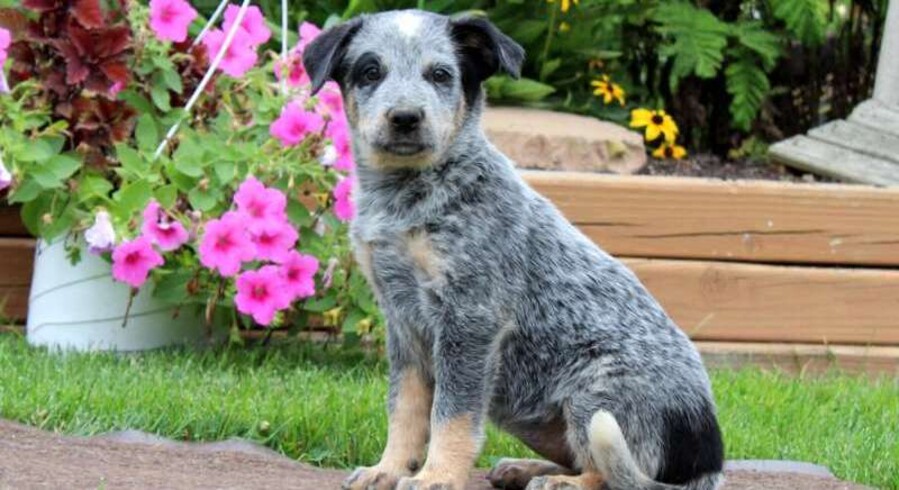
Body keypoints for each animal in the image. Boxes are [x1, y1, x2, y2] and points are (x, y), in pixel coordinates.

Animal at [302, 8, 724, 490]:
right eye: (370, 71)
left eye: (440, 74)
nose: (405, 117)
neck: (409, 199)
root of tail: (709, 460)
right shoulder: (402, 323)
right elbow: (404, 408)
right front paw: (387, 469)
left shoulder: (470, 317)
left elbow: (452, 414)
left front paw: (437, 476)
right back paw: (526, 468)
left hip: (596, 392)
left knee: (613, 472)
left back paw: (561, 482)